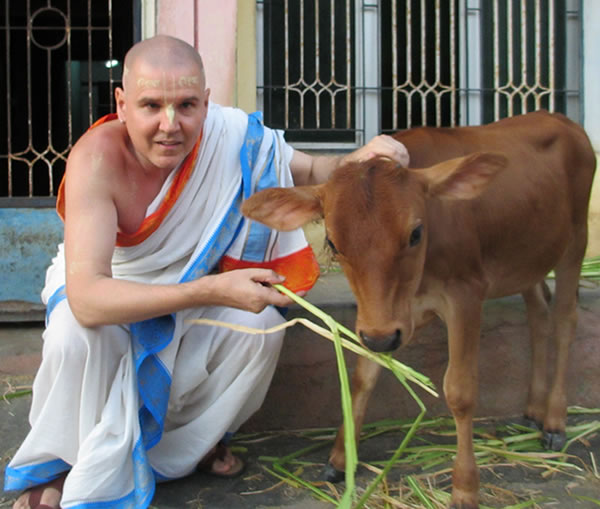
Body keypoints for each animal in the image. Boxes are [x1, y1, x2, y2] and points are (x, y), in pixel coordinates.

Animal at [241, 112, 596, 508]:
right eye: (332, 241)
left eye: (415, 233)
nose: (381, 338)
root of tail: (558, 117)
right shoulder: (382, 318)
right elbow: (364, 376)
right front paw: (341, 457)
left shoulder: (465, 293)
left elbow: (460, 391)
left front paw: (465, 487)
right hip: (526, 257)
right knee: (539, 313)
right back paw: (534, 408)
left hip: (575, 241)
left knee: (565, 321)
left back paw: (554, 419)